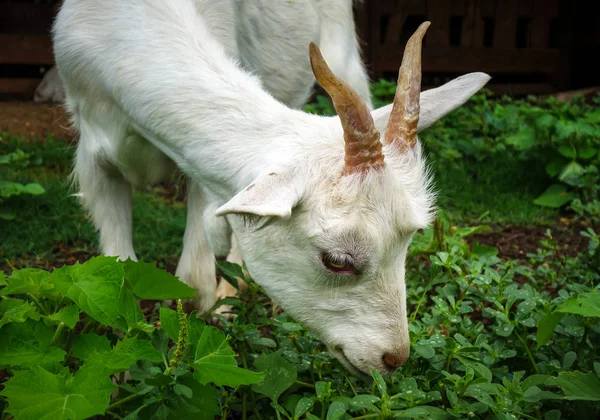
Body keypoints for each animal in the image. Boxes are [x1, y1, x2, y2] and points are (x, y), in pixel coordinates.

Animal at [54, 0, 490, 376]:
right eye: (336, 260)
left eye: (408, 242)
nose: (394, 358)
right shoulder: (95, 160)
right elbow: (121, 277)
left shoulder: (202, 175)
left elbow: (193, 282)